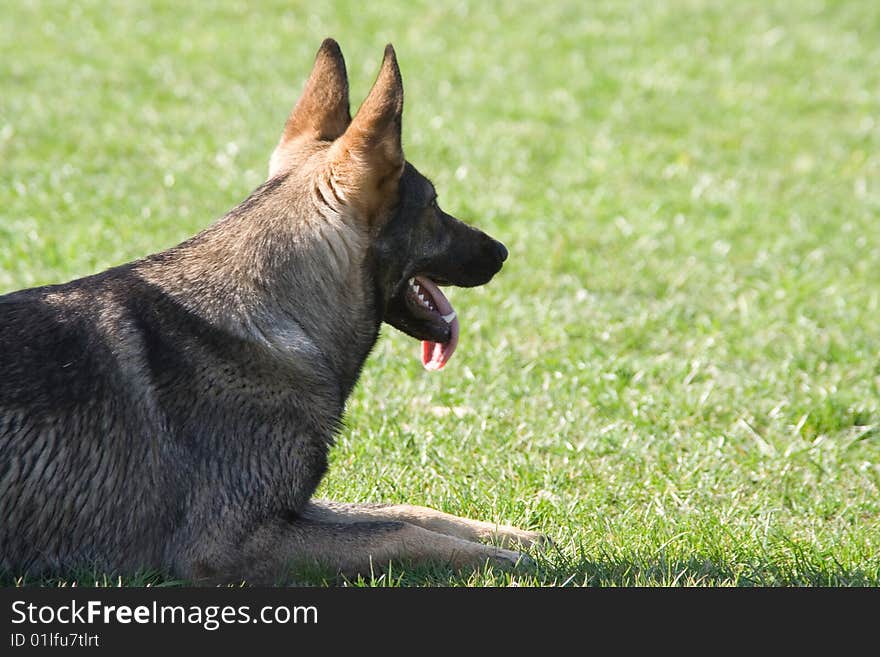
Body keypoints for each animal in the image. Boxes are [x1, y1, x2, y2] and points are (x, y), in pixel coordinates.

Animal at [0, 39, 544, 584]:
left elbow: (399, 511)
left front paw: (506, 535)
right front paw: (493, 559)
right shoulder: (229, 547)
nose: (501, 252)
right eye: (433, 204)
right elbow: (393, 533)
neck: (272, 314)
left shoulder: (290, 510)